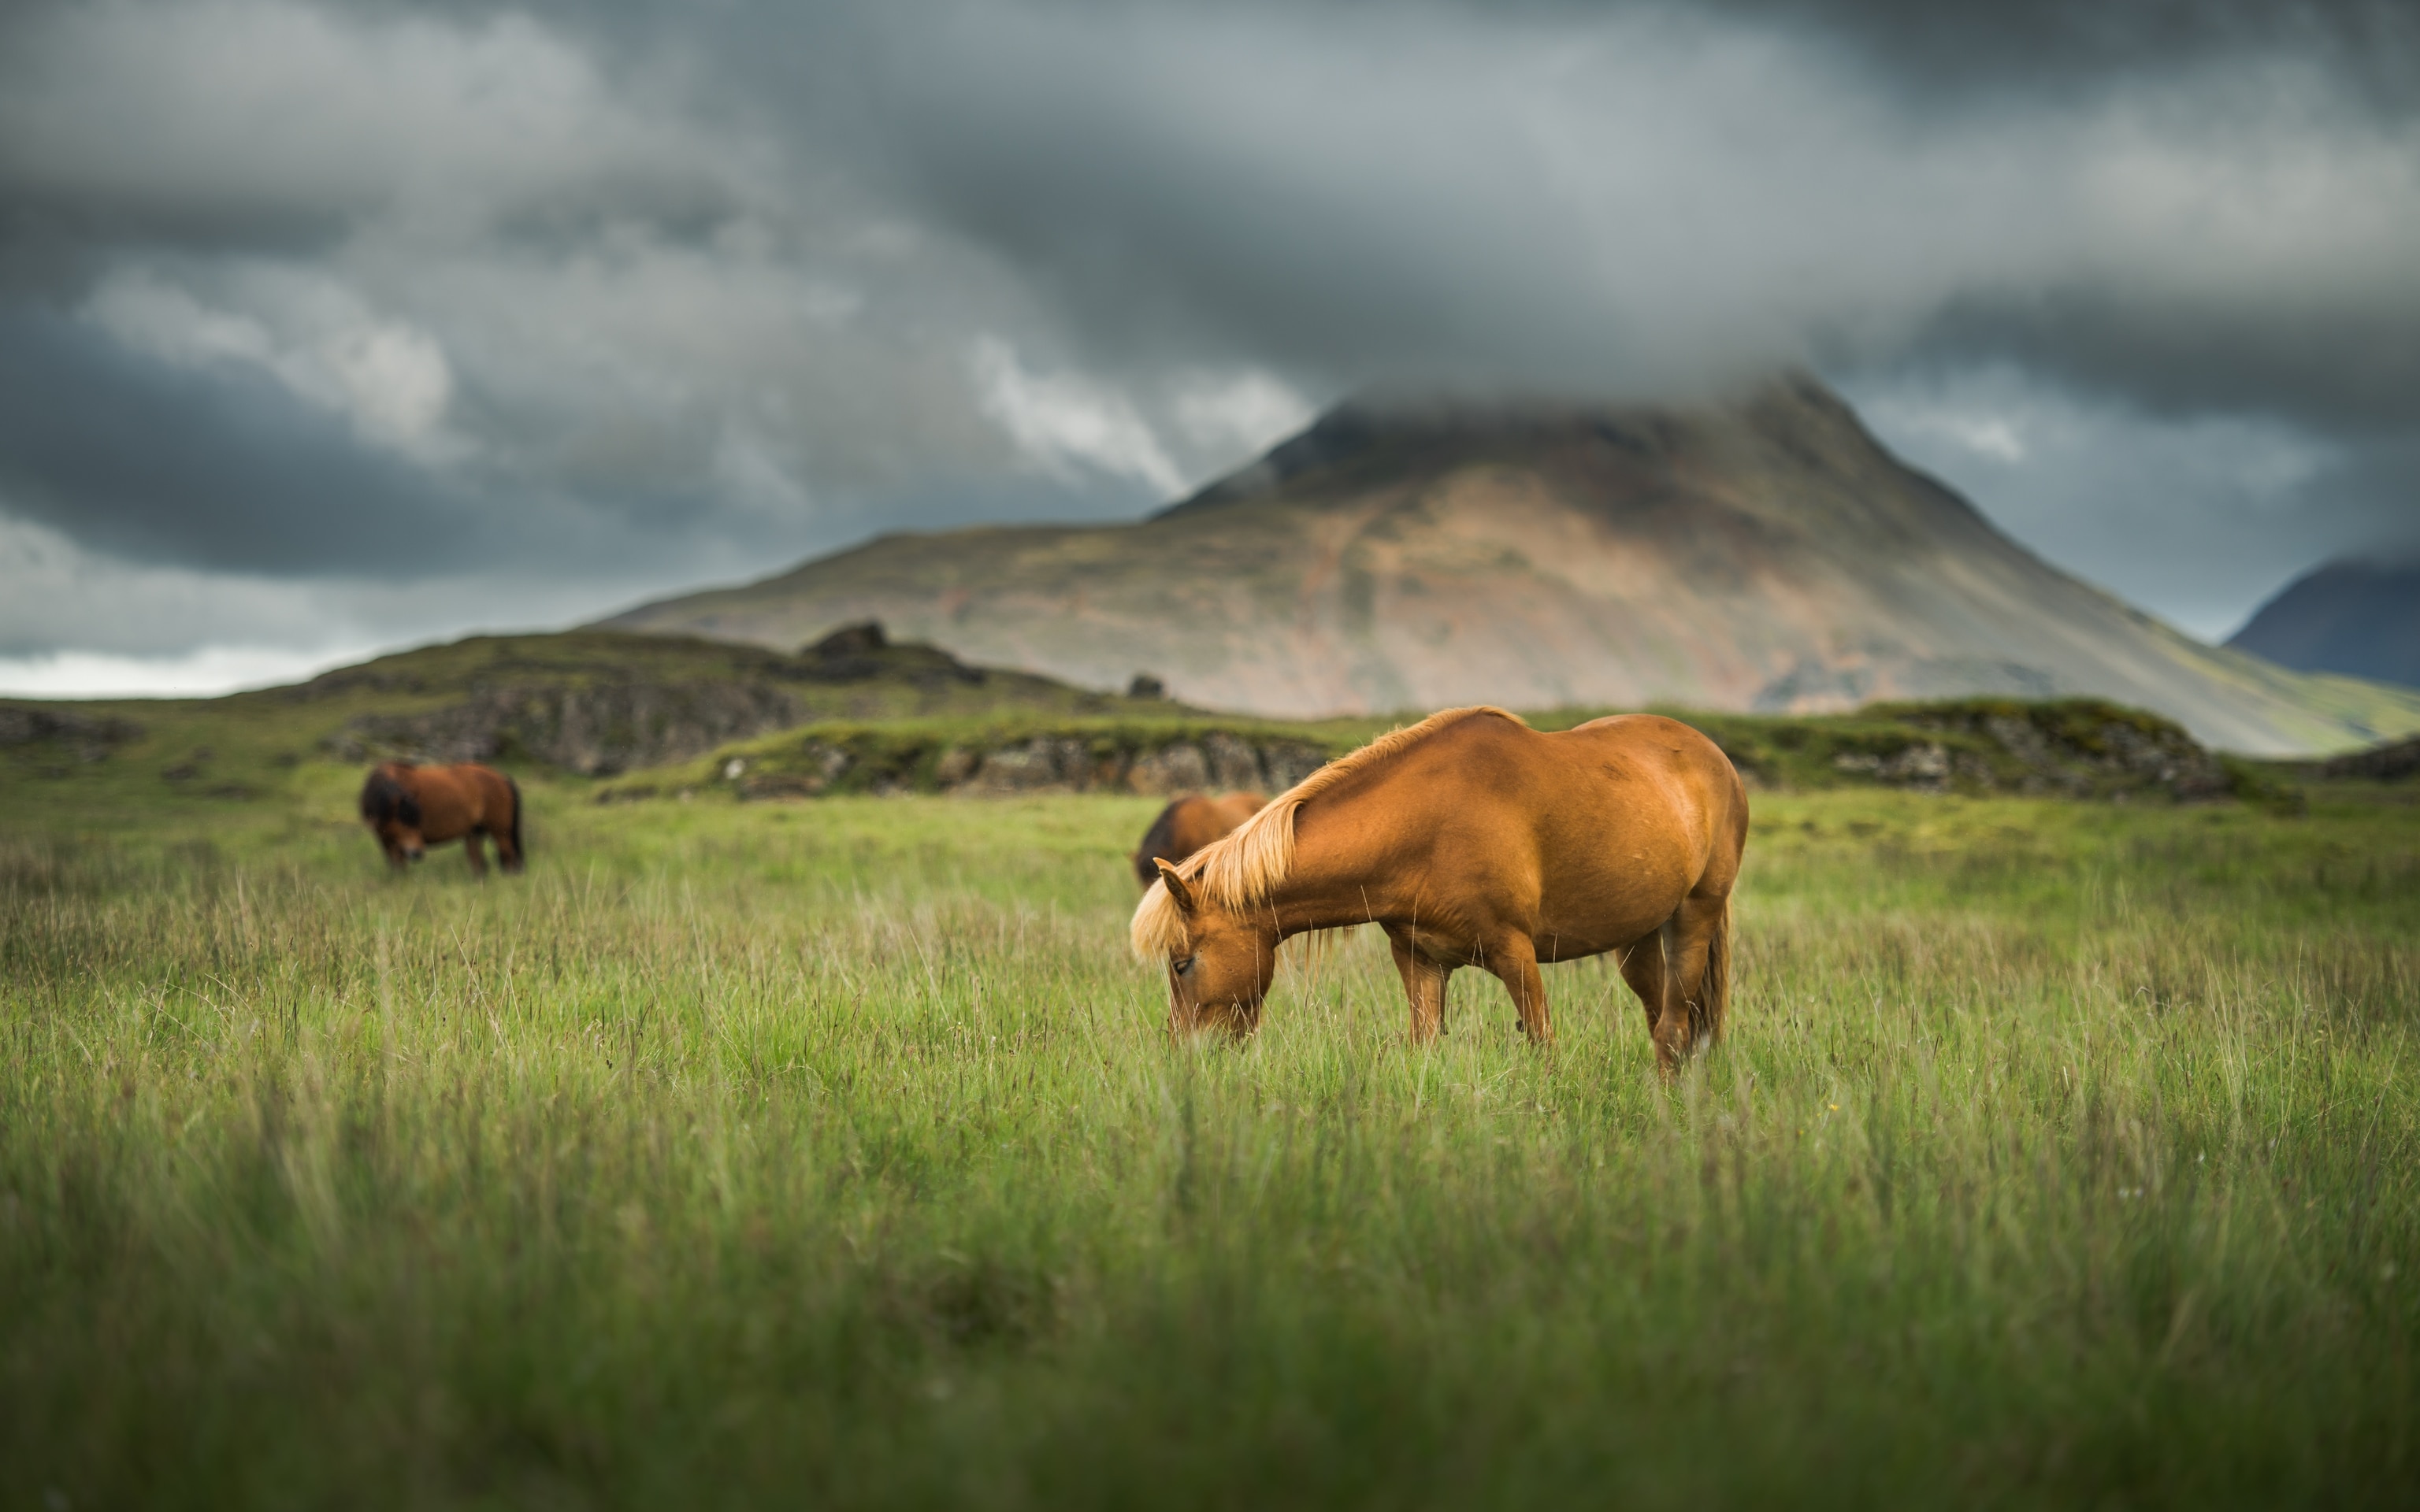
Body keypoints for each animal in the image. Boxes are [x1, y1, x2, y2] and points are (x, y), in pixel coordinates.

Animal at [358, 761, 526, 876]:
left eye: (417, 820)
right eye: (402, 821)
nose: (417, 853)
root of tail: (502, 778)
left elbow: (400, 864)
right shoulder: (386, 839)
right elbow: (397, 865)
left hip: (501, 832)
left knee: (509, 858)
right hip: (474, 833)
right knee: (479, 862)